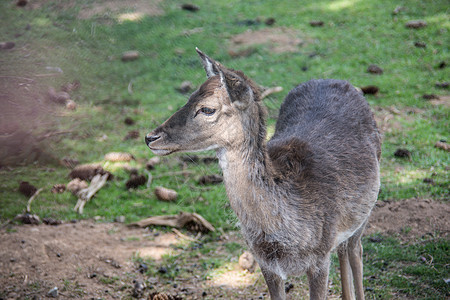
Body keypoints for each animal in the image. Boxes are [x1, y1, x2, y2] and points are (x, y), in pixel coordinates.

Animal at [146, 48, 382, 298]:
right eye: (189, 97)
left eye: (207, 109)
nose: (151, 137)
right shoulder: (266, 264)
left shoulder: (319, 257)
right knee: (344, 249)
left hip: (366, 208)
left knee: (355, 250)